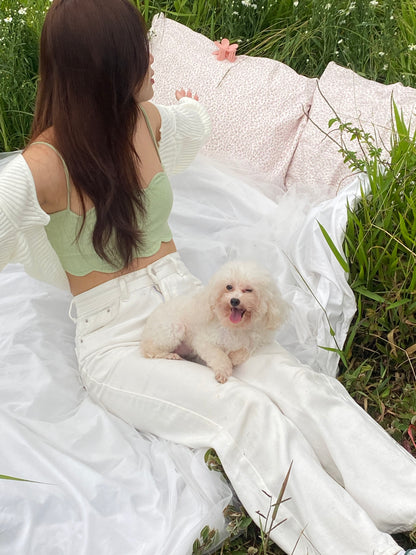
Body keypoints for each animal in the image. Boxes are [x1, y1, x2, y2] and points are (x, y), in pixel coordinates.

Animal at [141, 262, 288, 384]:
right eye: (229, 287)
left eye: (249, 290)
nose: (234, 300)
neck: (234, 326)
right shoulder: (204, 342)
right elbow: (219, 355)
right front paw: (224, 371)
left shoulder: (255, 339)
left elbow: (246, 348)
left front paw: (234, 358)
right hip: (173, 329)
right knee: (149, 349)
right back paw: (169, 355)